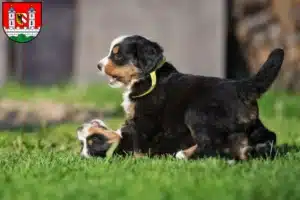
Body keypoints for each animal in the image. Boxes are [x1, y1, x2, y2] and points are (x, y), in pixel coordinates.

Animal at [96, 35, 284, 161]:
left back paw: (185, 155)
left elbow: (138, 140)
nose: (98, 65)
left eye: (117, 55)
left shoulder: (144, 118)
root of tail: (241, 86)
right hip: (253, 124)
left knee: (211, 143)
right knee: (269, 136)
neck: (148, 76)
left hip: (197, 113)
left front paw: (135, 160)